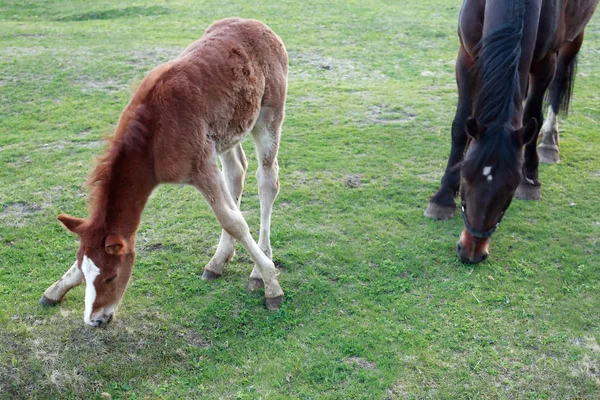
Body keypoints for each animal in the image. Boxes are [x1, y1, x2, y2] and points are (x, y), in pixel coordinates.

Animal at [39, 17, 288, 326]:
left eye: (111, 276)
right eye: (87, 276)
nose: (96, 320)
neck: (154, 138)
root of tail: (258, 24)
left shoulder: (201, 167)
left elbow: (232, 220)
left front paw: (272, 285)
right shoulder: (207, 156)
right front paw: (56, 288)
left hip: (269, 116)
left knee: (267, 179)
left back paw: (257, 269)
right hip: (226, 133)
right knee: (236, 173)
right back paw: (218, 262)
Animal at [424, 0, 596, 264]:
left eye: (511, 188)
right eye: (466, 176)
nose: (472, 251)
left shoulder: (545, 63)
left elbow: (533, 115)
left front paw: (531, 178)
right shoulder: (466, 56)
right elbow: (461, 124)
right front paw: (443, 197)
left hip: (573, 39)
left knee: (558, 84)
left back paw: (549, 144)